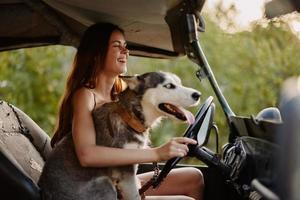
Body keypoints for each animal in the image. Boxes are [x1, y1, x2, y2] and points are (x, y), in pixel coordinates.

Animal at [38, 72, 202, 200]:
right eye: (169, 86)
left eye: (179, 83)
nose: (197, 94)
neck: (129, 117)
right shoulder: (126, 173)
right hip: (104, 184)